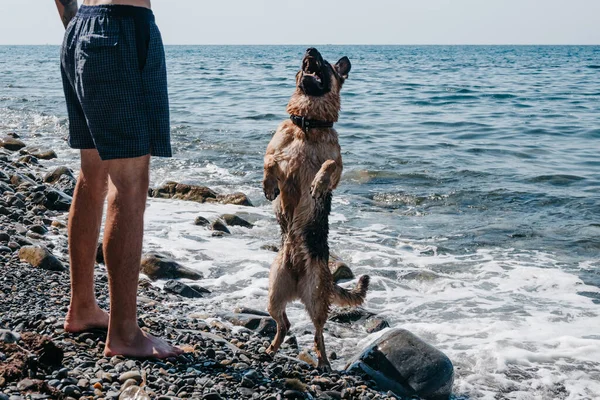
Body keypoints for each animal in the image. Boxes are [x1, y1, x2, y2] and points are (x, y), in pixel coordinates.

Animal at [264, 48, 370, 370]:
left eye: (323, 64)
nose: (310, 50)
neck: (307, 124)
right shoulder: (276, 157)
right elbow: (270, 161)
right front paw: (268, 185)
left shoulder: (337, 167)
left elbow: (329, 164)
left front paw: (318, 184)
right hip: (273, 294)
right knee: (284, 324)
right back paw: (271, 349)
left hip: (315, 299)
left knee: (318, 333)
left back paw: (323, 361)